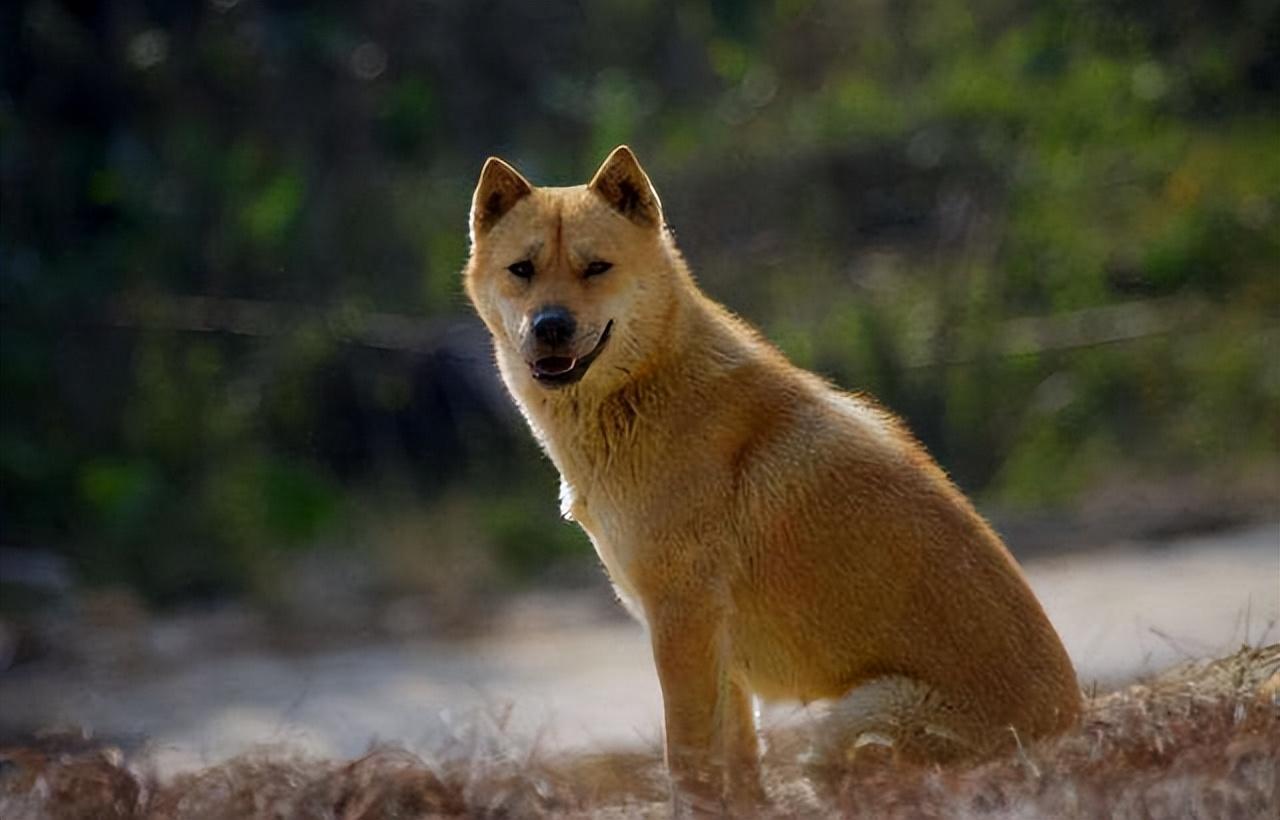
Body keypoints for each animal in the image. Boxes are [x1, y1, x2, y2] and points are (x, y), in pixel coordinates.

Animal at [463, 147, 1080, 813]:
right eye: (522, 270)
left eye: (596, 267)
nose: (549, 325)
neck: (647, 388)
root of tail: (1073, 729)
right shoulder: (717, 650)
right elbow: (738, 762)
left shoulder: (682, 625)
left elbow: (687, 759)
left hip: (851, 725)